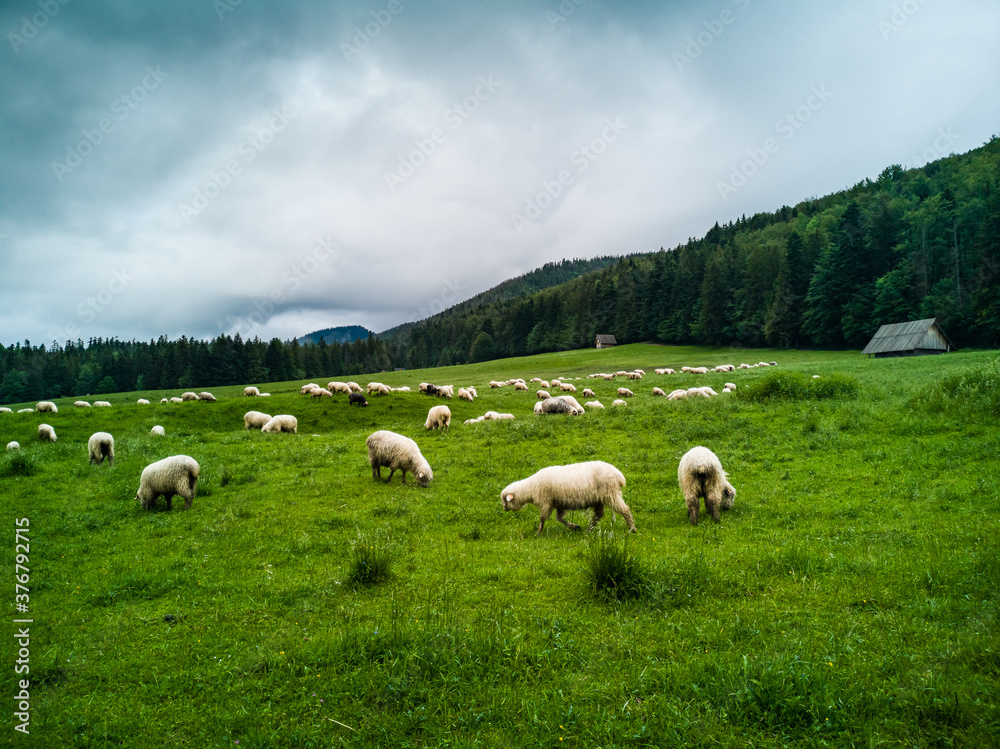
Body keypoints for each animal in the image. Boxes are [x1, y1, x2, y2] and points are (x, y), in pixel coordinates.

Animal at [504, 458, 636, 536]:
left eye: (505, 500)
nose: (504, 509)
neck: (531, 487)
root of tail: (619, 475)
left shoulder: (546, 502)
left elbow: (542, 518)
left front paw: (538, 532)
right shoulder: (559, 504)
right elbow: (559, 518)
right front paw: (575, 527)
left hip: (610, 493)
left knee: (625, 509)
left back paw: (632, 528)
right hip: (600, 498)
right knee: (598, 515)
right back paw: (589, 530)